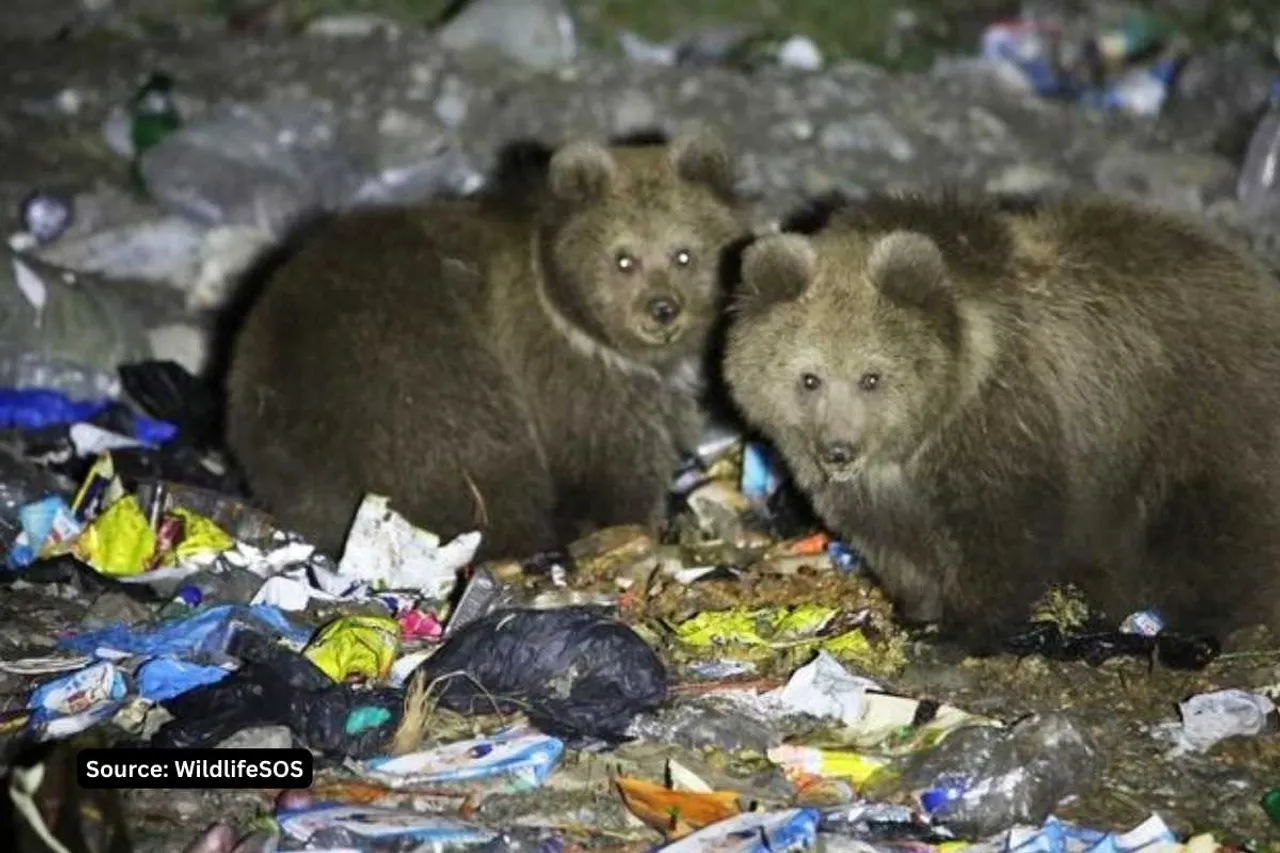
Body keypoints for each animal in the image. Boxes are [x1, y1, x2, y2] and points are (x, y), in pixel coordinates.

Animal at [226, 128, 752, 558]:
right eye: (624, 259)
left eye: (685, 254)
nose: (662, 309)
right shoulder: (567, 374)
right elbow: (610, 458)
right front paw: (632, 515)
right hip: (417, 368)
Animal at [727, 190, 1280, 645]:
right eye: (809, 378)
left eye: (871, 376)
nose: (839, 450)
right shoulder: (873, 496)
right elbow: (897, 549)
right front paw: (918, 612)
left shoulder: (1009, 430)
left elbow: (1003, 537)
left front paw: (961, 629)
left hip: (1196, 420)